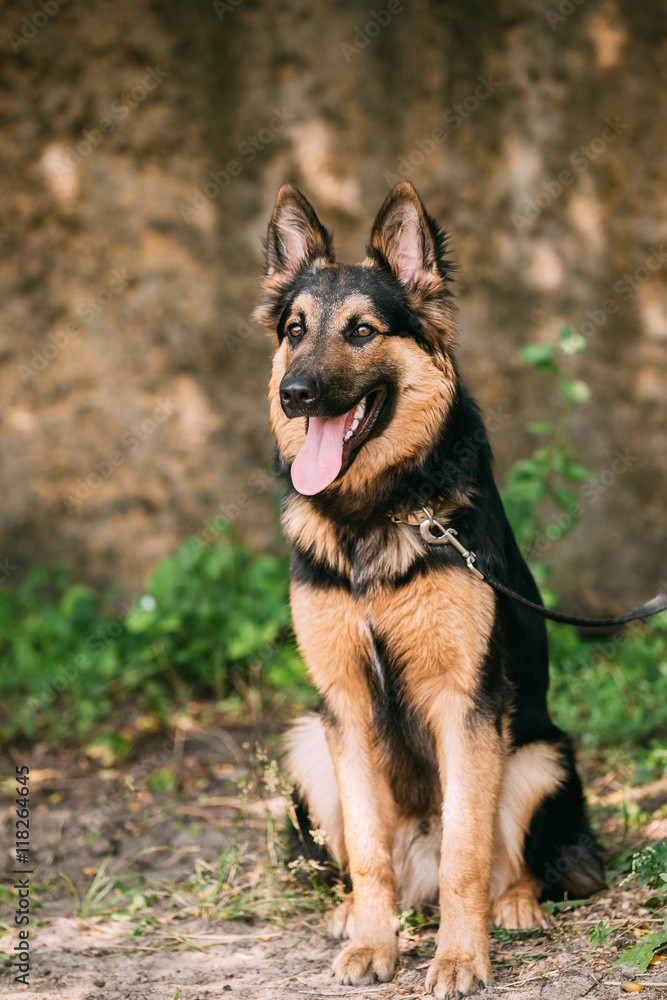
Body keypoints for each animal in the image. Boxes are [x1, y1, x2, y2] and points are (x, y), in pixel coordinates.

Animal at [253, 184, 604, 996]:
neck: (377, 512)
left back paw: (515, 907)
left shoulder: (466, 705)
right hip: (308, 744)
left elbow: (466, 855)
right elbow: (369, 852)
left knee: (507, 862)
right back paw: (356, 913)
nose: (294, 394)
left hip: (538, 754)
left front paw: (459, 958)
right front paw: (373, 943)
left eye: (362, 331)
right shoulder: (344, 706)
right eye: (295, 329)